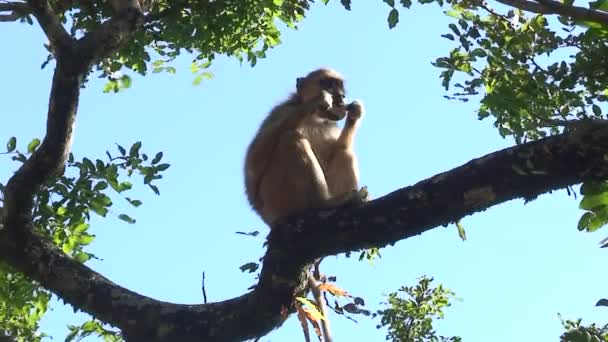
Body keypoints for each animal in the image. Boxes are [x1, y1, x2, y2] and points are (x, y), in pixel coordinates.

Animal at [242, 67, 366, 342]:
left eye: (341, 87)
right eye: (328, 84)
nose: (341, 97)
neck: (317, 120)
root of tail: (269, 218)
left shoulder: (330, 126)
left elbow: (339, 148)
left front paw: (354, 113)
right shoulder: (282, 111)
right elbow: (254, 165)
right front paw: (317, 101)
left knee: (342, 151)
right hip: (278, 196)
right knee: (290, 138)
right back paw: (324, 204)